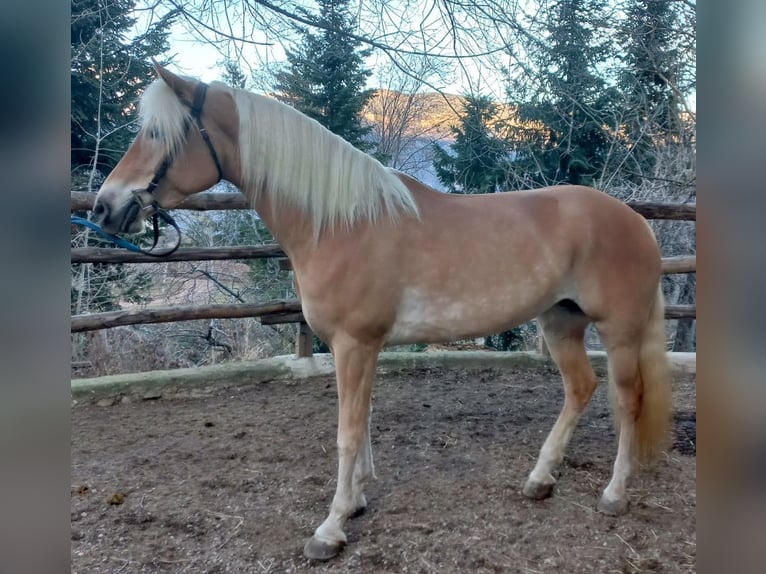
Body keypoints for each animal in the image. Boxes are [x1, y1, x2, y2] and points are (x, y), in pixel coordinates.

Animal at [94, 64, 672, 564]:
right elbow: (364, 421)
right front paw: (355, 501)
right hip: (559, 321)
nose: (104, 207)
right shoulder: (359, 347)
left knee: (628, 401)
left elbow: (347, 433)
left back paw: (613, 494)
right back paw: (540, 479)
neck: (341, 224)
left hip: (618, 330)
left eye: (154, 133)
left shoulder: (354, 343)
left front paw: (330, 528)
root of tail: (636, 222)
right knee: (580, 388)